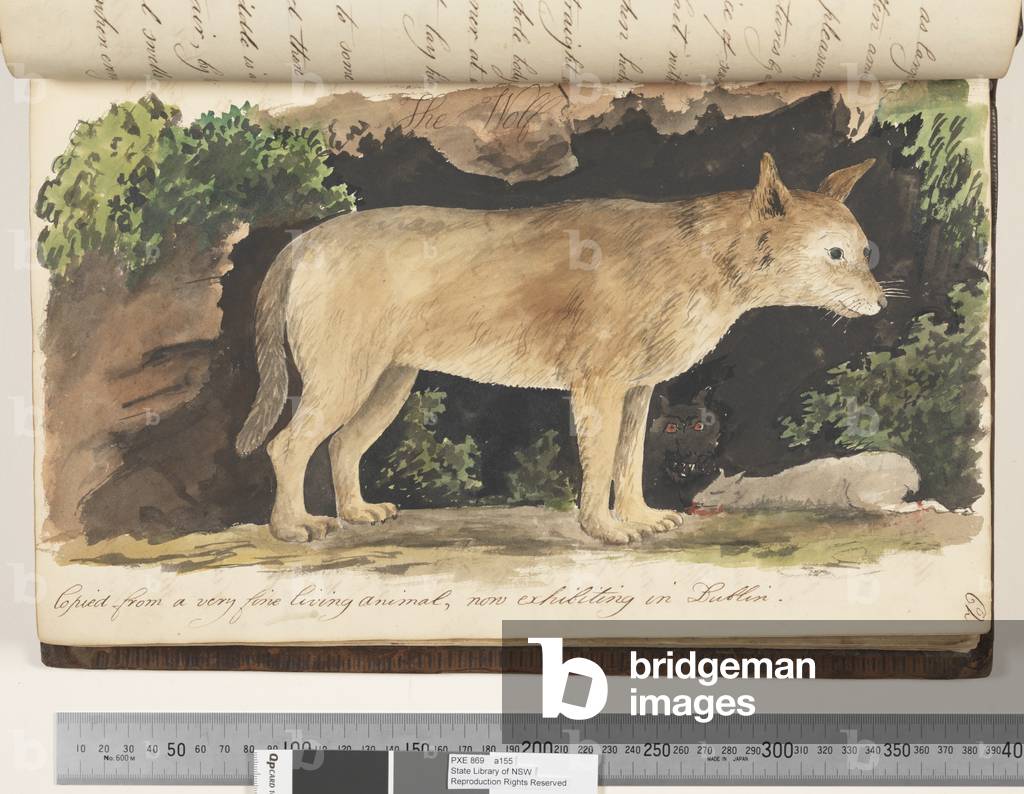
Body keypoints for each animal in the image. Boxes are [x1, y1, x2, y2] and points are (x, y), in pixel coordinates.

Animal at [236, 153, 884, 544]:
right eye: (834, 254)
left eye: (864, 250)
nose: (882, 303)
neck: (702, 257)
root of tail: (302, 243)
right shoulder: (598, 388)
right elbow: (598, 469)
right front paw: (605, 528)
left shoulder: (637, 392)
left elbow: (629, 463)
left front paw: (640, 517)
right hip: (344, 381)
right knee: (286, 447)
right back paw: (292, 527)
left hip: (386, 385)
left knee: (340, 446)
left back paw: (356, 513)